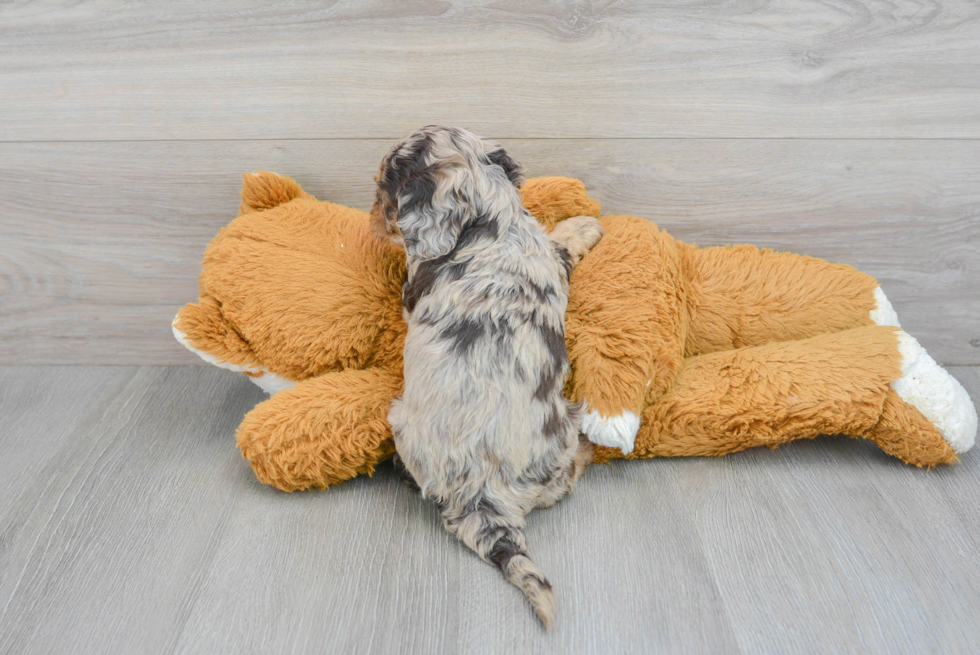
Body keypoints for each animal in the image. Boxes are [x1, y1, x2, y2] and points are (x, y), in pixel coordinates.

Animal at [374, 125, 604, 628]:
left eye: (385, 188)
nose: (374, 216)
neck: (493, 223)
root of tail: (483, 494)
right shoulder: (548, 255)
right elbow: (560, 242)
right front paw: (586, 224)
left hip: (401, 422)